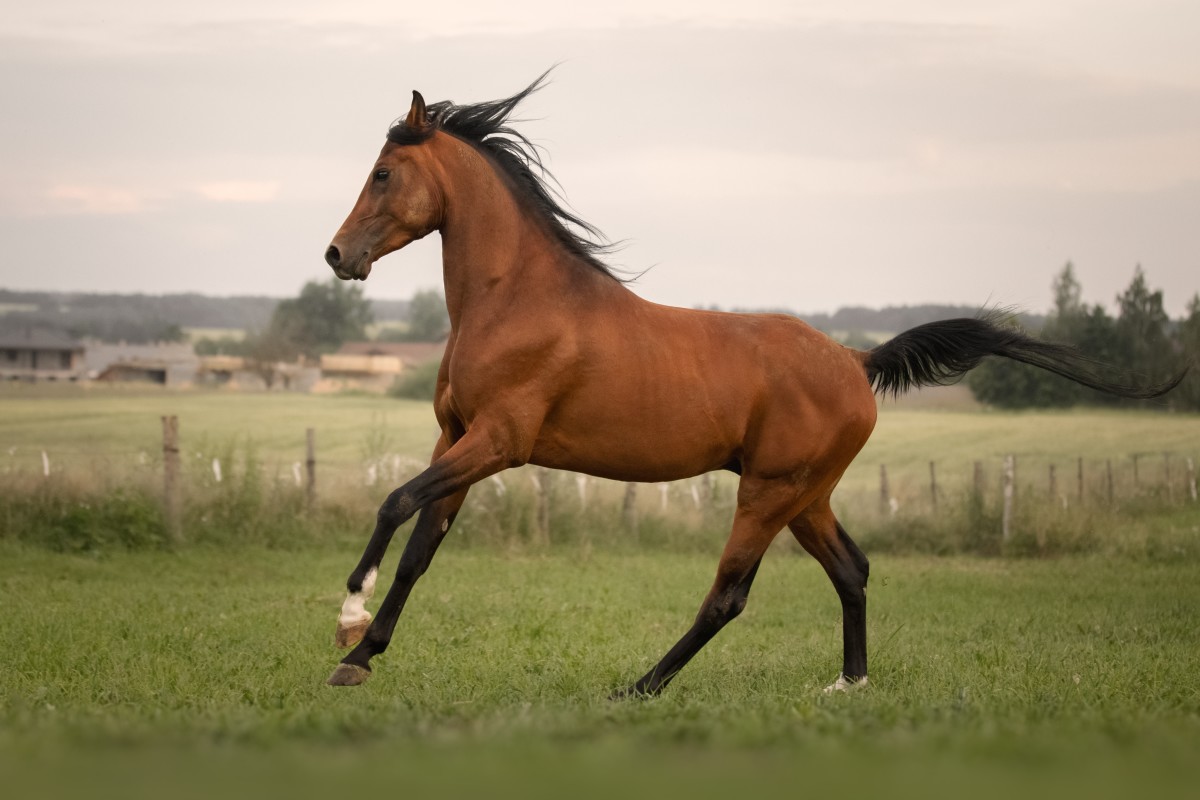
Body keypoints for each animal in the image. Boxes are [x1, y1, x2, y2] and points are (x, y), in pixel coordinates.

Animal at [319, 76, 1180, 700]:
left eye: (383, 172)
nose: (336, 255)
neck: (517, 299)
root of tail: (857, 361)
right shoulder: (458, 437)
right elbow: (420, 550)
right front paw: (362, 656)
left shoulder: (499, 441)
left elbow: (394, 503)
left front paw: (348, 616)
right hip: (806, 495)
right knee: (852, 571)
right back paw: (848, 686)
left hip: (769, 492)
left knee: (728, 595)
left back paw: (641, 687)